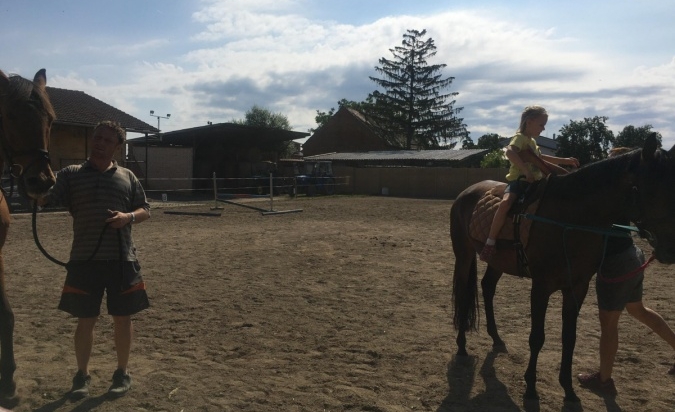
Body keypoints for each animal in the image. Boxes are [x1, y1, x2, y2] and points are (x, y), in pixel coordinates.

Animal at [452, 134, 675, 402]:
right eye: (656, 190)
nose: (670, 249)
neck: (568, 220)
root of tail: (466, 193)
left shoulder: (576, 287)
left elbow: (569, 338)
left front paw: (568, 389)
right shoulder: (541, 287)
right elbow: (537, 338)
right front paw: (530, 388)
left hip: (497, 261)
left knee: (487, 287)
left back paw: (495, 337)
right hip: (464, 255)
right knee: (463, 293)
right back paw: (462, 345)